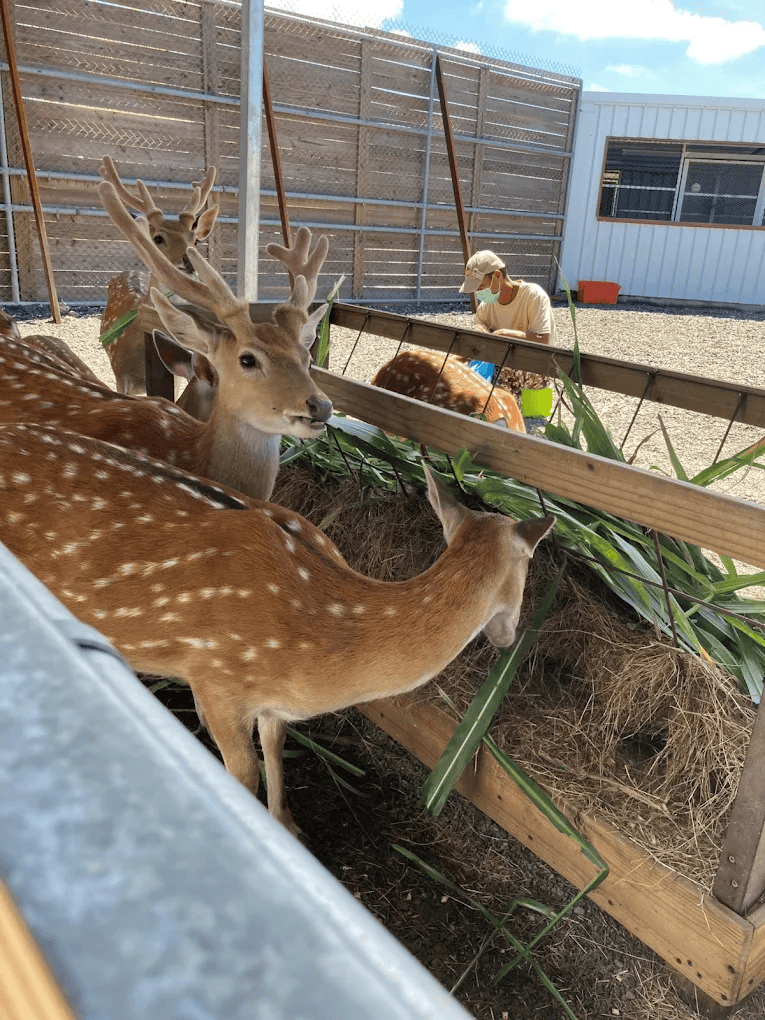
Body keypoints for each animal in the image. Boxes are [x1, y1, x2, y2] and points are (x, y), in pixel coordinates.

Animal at [0, 421, 554, 833]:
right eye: (530, 571)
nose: (508, 638)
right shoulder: (215, 677)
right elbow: (243, 774)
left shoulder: (271, 700)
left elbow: (276, 749)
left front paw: (288, 825)